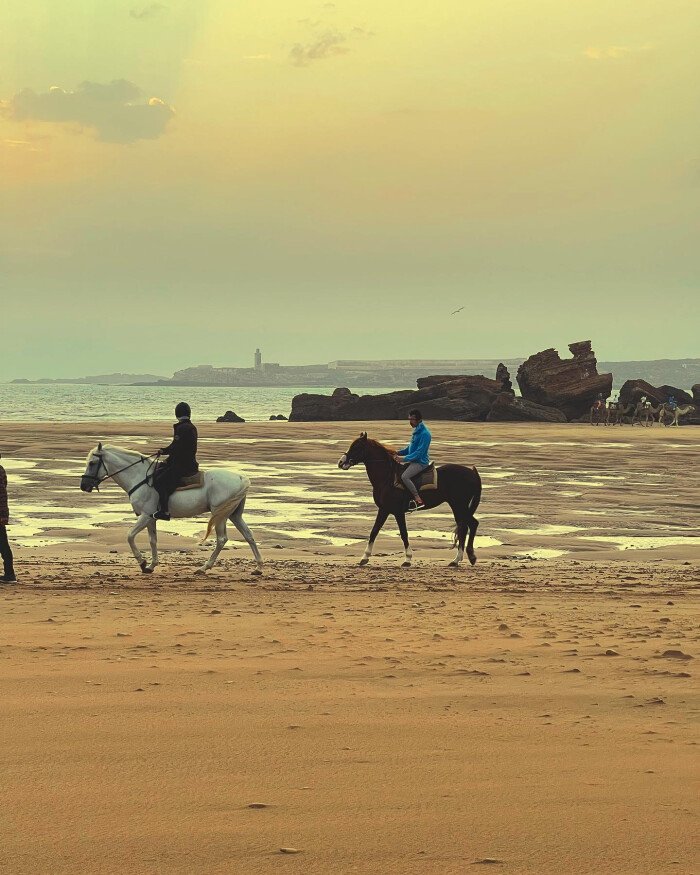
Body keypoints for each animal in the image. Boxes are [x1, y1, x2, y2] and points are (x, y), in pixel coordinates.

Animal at [79, 444, 264, 576]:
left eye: (92, 463)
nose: (84, 486)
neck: (139, 477)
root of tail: (241, 478)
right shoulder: (151, 518)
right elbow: (153, 540)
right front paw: (151, 565)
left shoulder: (145, 516)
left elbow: (130, 536)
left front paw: (142, 562)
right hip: (234, 515)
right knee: (248, 535)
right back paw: (258, 568)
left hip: (221, 515)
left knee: (222, 540)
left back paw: (204, 568)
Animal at [338, 436, 482, 572]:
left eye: (357, 447)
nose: (341, 462)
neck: (387, 478)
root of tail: (472, 473)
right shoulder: (384, 509)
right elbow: (374, 532)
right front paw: (364, 558)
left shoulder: (397, 512)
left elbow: (403, 534)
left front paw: (407, 559)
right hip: (458, 506)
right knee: (466, 526)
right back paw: (461, 559)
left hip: (459, 505)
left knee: (470, 525)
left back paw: (463, 558)